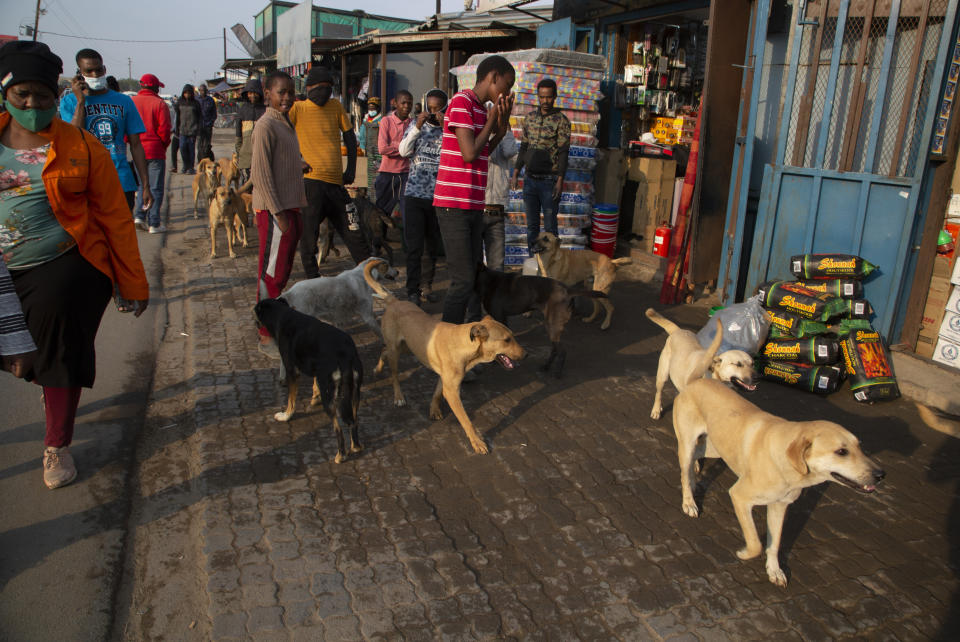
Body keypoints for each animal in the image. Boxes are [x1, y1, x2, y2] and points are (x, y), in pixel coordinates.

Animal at [255, 298, 364, 462]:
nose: (255, 324)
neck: (282, 315)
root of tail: (346, 353)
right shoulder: (316, 371)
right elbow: (314, 383)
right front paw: (314, 397)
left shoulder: (292, 371)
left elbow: (291, 400)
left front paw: (286, 416)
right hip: (354, 393)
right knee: (354, 421)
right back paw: (355, 447)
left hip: (330, 397)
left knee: (338, 428)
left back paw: (340, 455)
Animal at [364, 258, 524, 450]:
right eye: (507, 340)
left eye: (512, 337)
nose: (526, 354)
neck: (464, 345)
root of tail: (394, 300)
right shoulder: (453, 392)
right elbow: (466, 421)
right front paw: (477, 442)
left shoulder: (446, 380)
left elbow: (437, 393)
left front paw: (434, 410)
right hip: (397, 351)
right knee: (394, 374)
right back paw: (398, 396)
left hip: (408, 346)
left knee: (384, 351)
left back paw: (377, 369)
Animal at [474, 264, 604, 378]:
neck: (488, 280)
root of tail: (568, 290)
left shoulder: (499, 317)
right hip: (551, 326)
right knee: (555, 349)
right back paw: (546, 367)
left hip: (552, 325)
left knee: (561, 351)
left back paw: (557, 373)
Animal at [676, 376, 884, 584]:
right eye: (841, 451)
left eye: (859, 446)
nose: (881, 474)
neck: (785, 461)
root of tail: (696, 381)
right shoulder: (739, 496)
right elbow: (755, 543)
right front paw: (744, 553)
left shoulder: (780, 505)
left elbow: (774, 543)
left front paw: (774, 570)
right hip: (687, 445)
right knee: (684, 472)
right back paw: (689, 502)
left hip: (715, 448)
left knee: (697, 457)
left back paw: (694, 482)